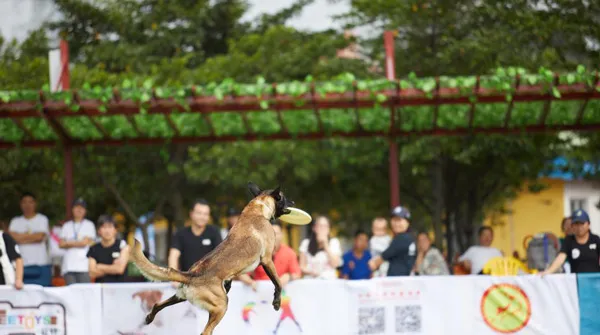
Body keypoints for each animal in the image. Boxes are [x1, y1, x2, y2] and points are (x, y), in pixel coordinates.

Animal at [130, 184, 294, 335]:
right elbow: (278, 283)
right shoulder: (267, 260)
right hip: (221, 306)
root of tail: (190, 275)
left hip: (182, 296)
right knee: (205, 332)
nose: (293, 202)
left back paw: (149, 318)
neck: (258, 208)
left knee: (158, 304)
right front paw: (277, 303)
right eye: (284, 198)